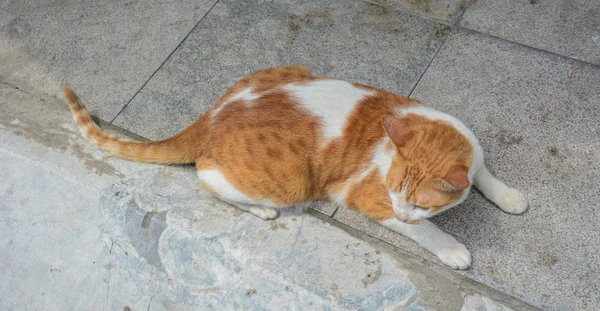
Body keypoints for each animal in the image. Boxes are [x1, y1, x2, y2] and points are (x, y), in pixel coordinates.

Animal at [63, 64, 528, 270]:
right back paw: (261, 209)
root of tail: (211, 116)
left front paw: (509, 197)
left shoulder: (471, 151)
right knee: (206, 175)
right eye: (395, 193)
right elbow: (424, 232)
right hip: (287, 181)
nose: (400, 210)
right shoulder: (366, 198)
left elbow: (482, 173)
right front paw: (450, 247)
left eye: (421, 201)